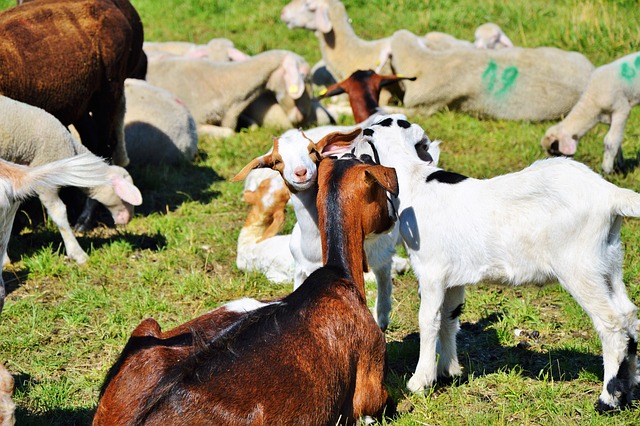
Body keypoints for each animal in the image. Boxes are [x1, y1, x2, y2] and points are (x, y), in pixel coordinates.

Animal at [0, 95, 142, 264]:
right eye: (123, 197)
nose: (128, 219)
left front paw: (5, 256)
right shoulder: (45, 180)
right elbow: (59, 213)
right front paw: (78, 254)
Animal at [342, 114, 640, 412]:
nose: (344, 154)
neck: (415, 181)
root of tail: (610, 195)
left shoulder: (431, 272)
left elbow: (429, 320)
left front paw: (420, 381)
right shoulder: (453, 278)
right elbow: (450, 318)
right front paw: (448, 372)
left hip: (580, 267)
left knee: (612, 324)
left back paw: (608, 400)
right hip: (609, 262)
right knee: (628, 315)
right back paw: (629, 390)